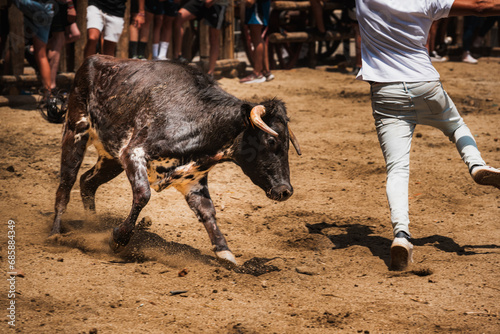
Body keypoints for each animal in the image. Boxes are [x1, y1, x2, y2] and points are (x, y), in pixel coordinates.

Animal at [49, 54, 300, 264]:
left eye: (288, 144)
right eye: (271, 141)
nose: (285, 191)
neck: (199, 120)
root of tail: (91, 60)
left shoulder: (192, 181)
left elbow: (207, 212)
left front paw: (225, 253)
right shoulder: (133, 153)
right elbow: (143, 194)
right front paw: (119, 239)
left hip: (111, 158)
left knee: (87, 182)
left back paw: (93, 227)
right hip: (76, 132)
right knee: (66, 185)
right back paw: (55, 233)